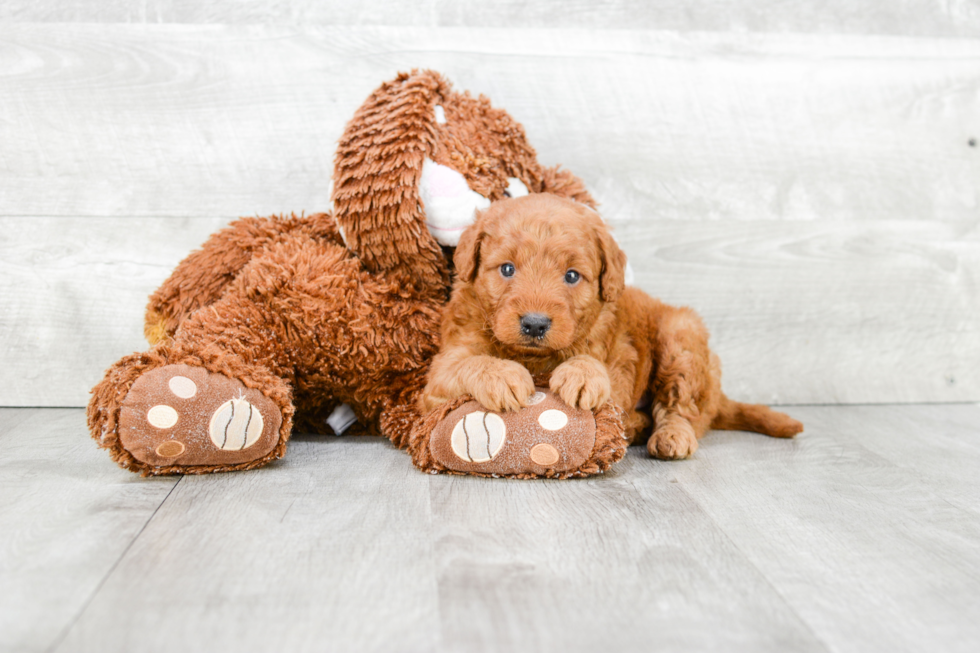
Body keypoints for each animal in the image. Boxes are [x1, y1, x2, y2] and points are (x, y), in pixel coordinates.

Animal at [422, 194, 804, 458]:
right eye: (506, 269)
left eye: (572, 276)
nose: (535, 324)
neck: (533, 358)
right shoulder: (437, 375)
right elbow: (466, 364)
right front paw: (502, 375)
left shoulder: (616, 360)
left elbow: (597, 368)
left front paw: (582, 375)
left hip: (682, 334)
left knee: (683, 409)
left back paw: (670, 436)